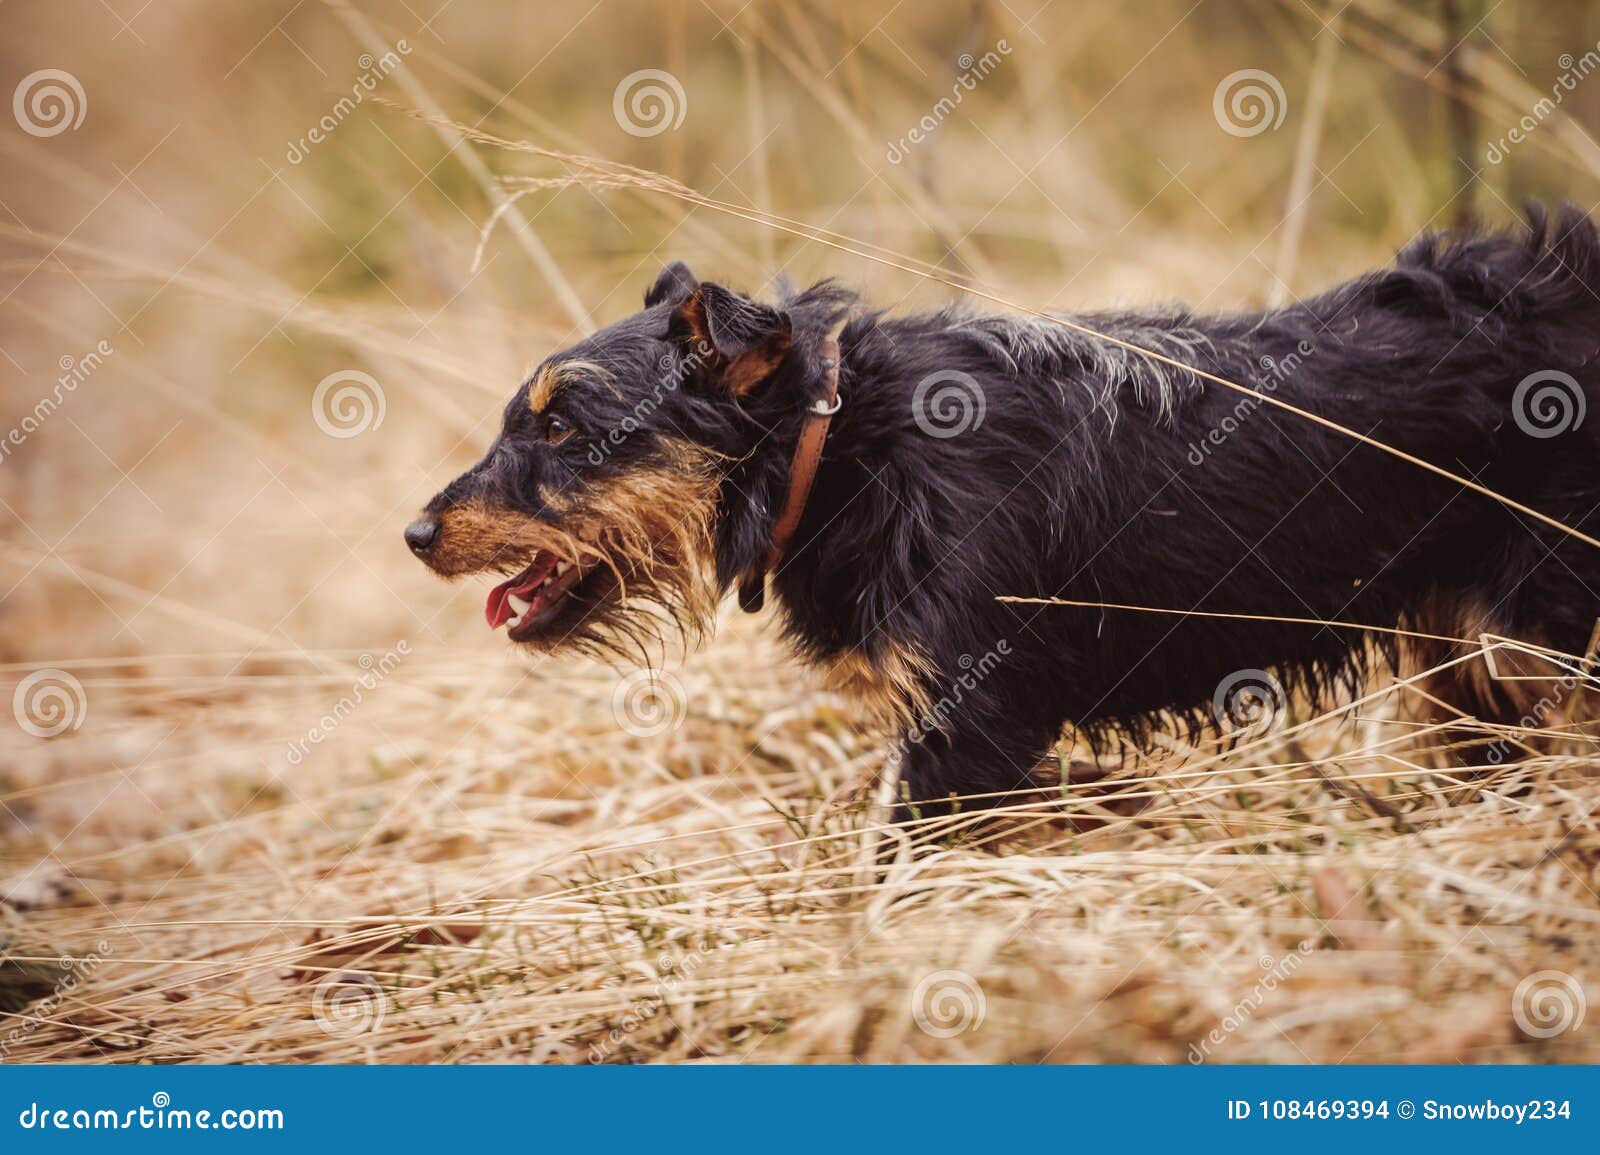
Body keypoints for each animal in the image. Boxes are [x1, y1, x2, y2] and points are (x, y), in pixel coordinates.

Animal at [409, 206, 1600, 815]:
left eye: (563, 428)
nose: (415, 534)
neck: (844, 450)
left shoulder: (962, 737)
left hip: (1544, 638)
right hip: (1469, 670)